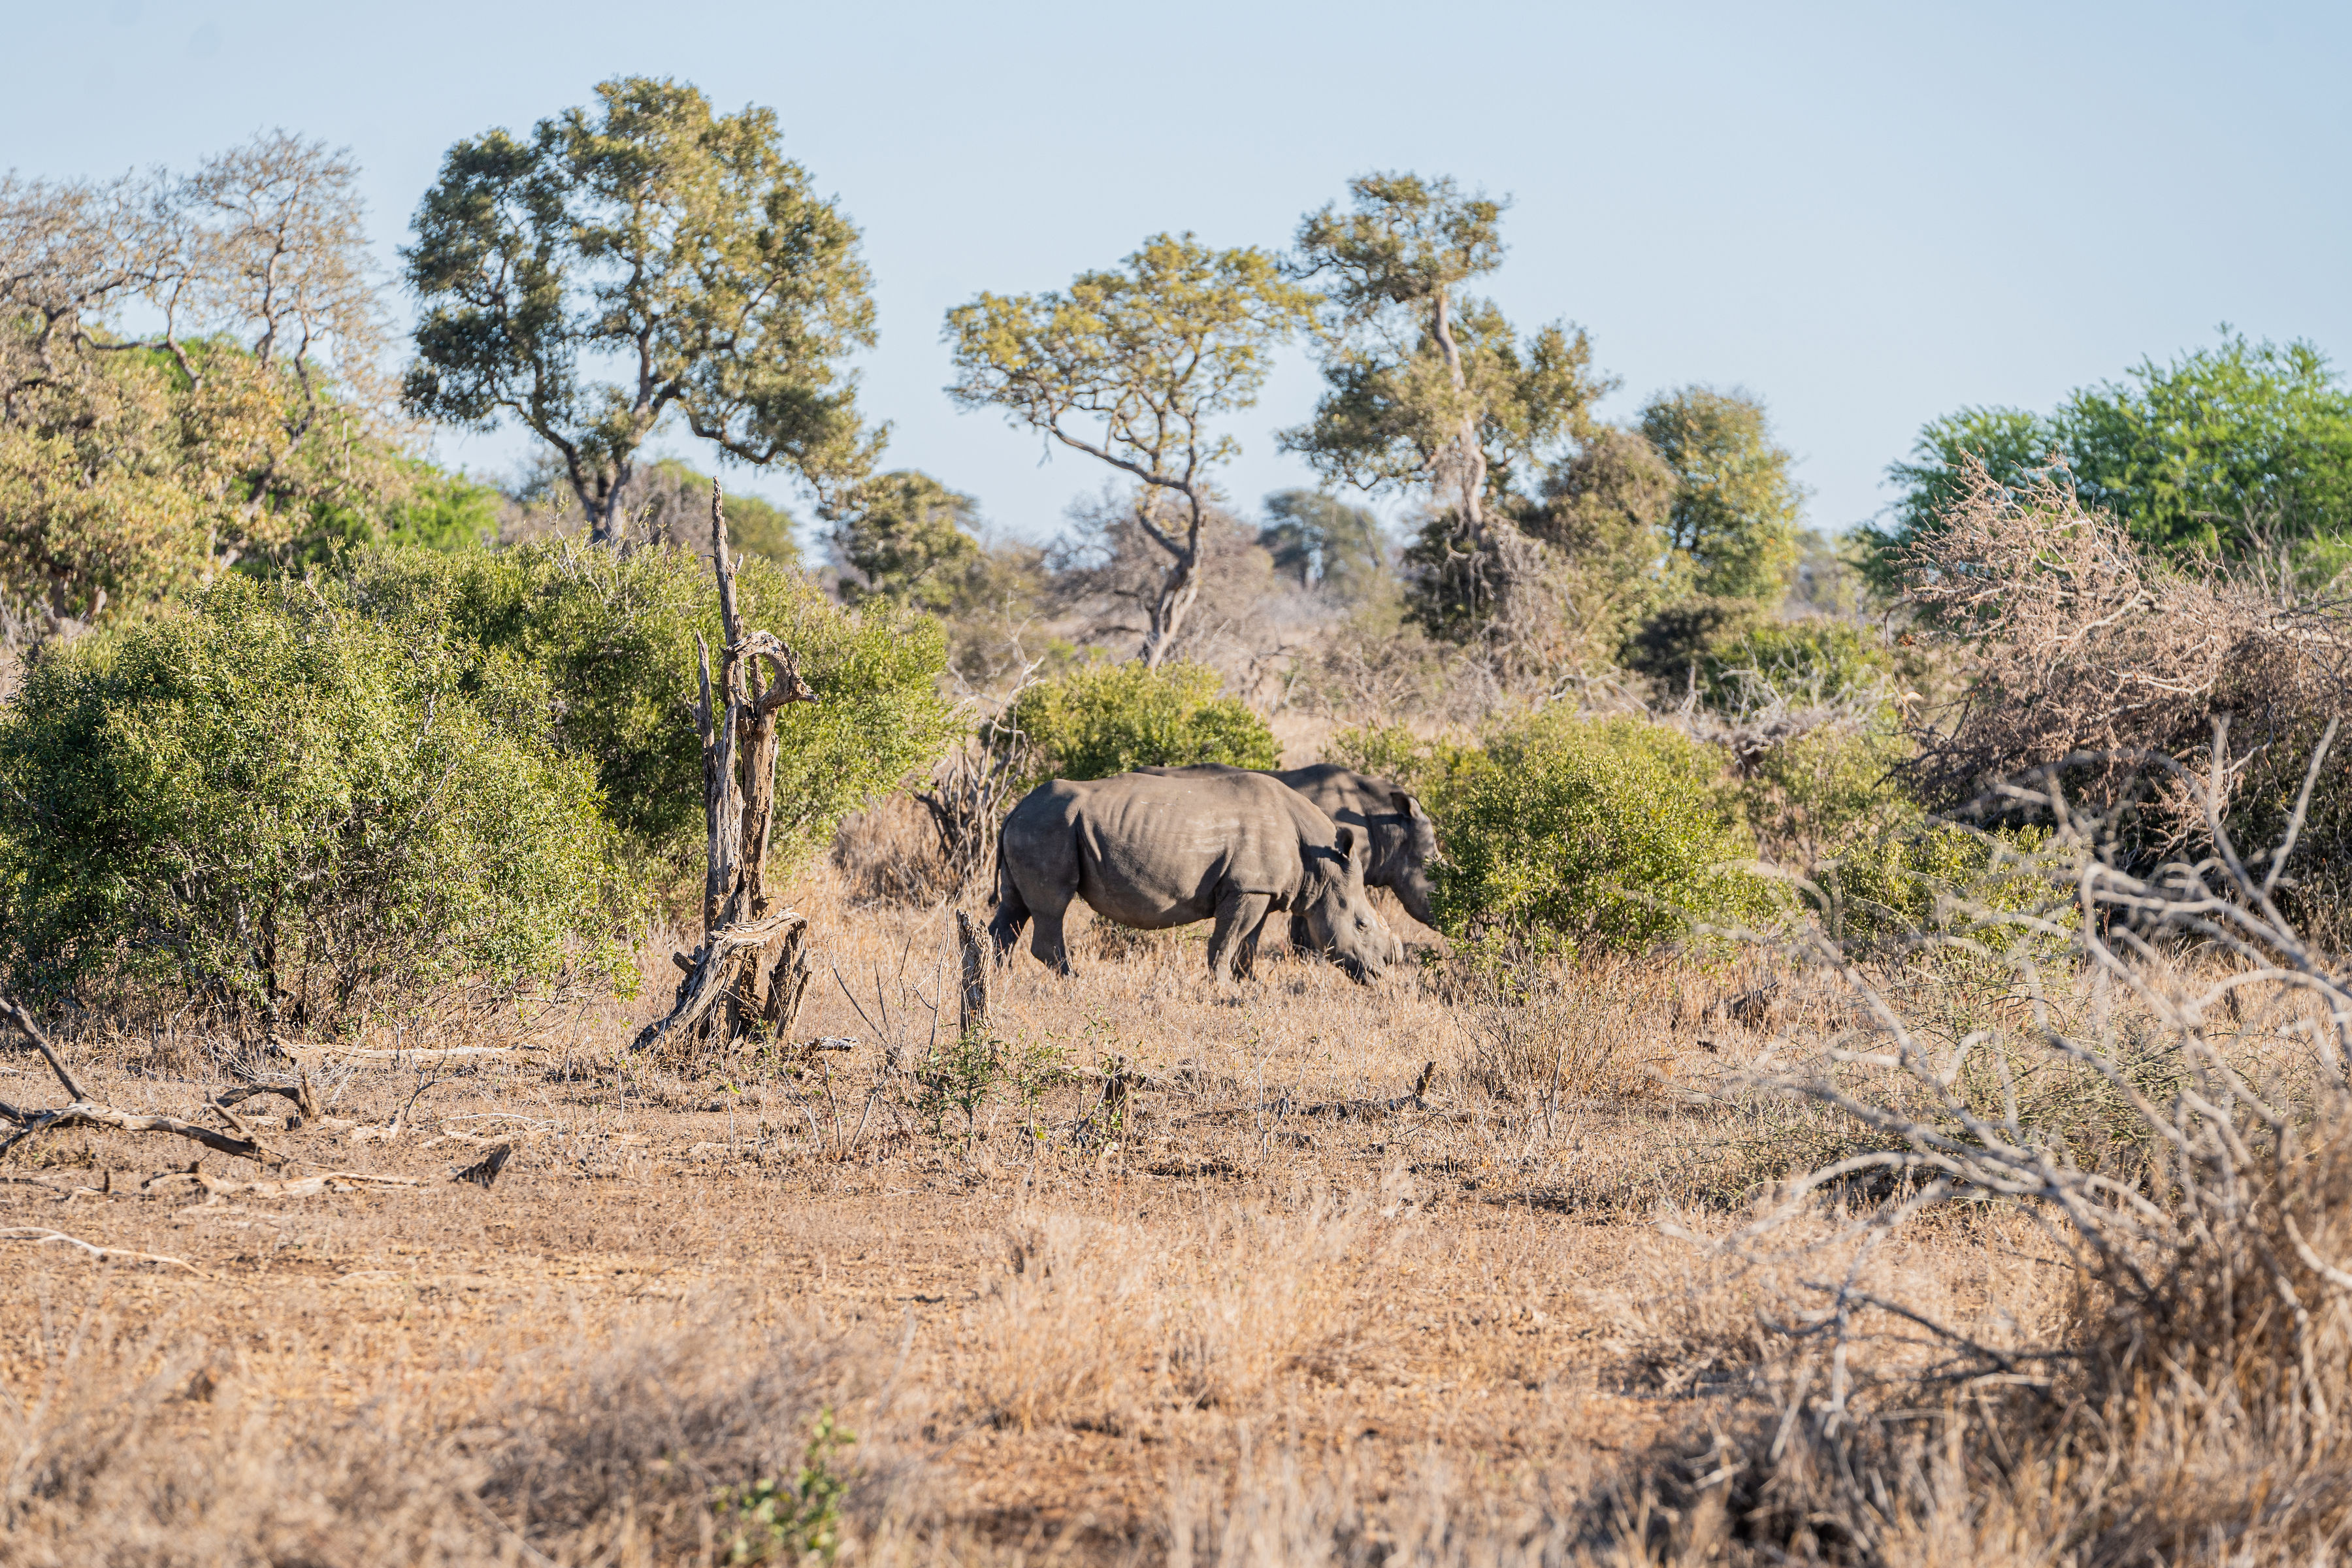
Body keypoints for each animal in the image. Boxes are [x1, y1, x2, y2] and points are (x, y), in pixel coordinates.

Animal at [990, 770, 1397, 983]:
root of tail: (1014, 810)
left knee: (1014, 907)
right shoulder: (1247, 887)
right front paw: (1220, 988)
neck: (1321, 863)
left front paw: (1247, 984)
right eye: (1361, 925)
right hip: (1048, 826)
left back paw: (993, 980)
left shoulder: (1260, 890)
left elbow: (1248, 942)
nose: (1380, 971)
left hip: (1034, 826)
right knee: (1052, 905)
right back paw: (1073, 982)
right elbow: (1227, 940)